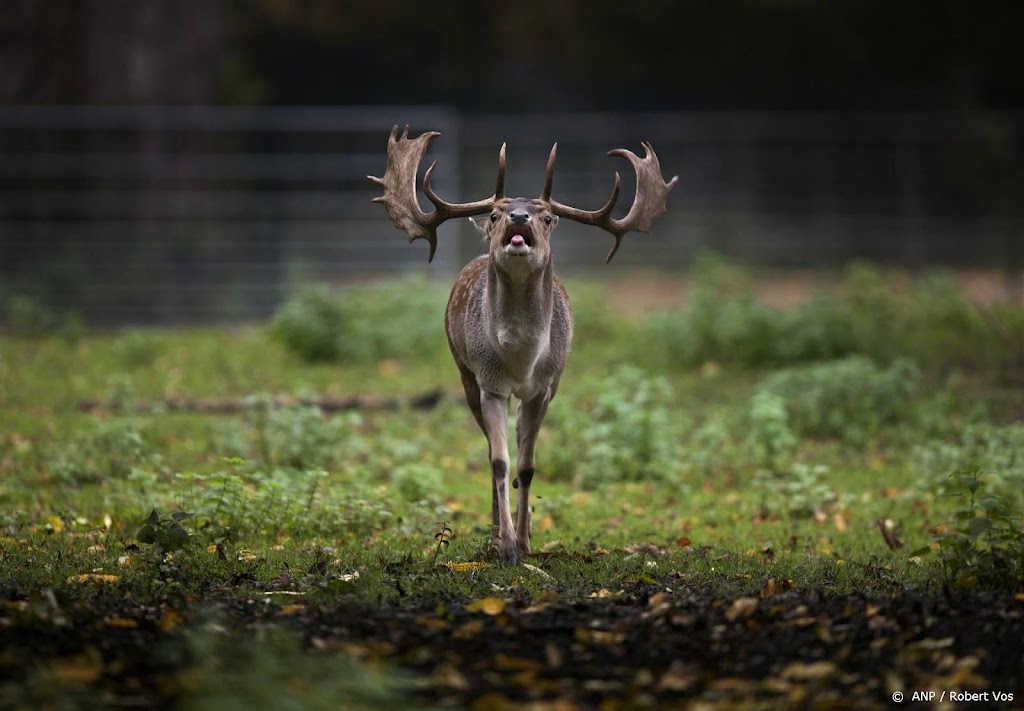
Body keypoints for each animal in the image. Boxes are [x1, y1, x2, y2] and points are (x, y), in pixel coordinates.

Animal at [370, 125, 679, 565]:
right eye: (496, 214)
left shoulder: (545, 388)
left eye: (547, 216)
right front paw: (506, 547)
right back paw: (494, 529)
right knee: (490, 451)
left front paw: (527, 542)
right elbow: (500, 462)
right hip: (464, 373)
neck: (520, 361)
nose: (519, 216)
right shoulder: (490, 385)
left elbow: (528, 467)